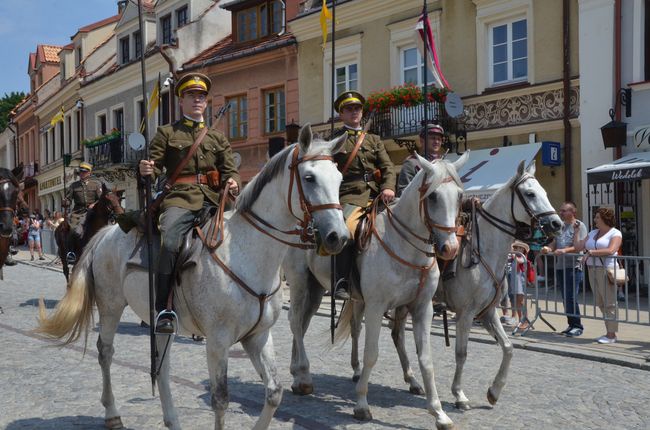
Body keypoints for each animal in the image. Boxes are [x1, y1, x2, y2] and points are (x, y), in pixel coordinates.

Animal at [35, 125, 350, 430]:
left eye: (339, 178)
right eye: (309, 178)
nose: (339, 237)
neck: (246, 252)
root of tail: (105, 232)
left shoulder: (258, 335)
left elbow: (274, 392)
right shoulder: (218, 341)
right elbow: (220, 399)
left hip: (161, 322)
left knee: (162, 368)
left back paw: (172, 420)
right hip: (111, 306)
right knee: (106, 352)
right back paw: (113, 414)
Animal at [284, 155, 466, 430]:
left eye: (459, 195)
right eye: (433, 196)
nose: (450, 248)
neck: (405, 247)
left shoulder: (422, 308)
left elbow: (426, 359)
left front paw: (438, 412)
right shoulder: (375, 307)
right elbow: (371, 354)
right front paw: (361, 404)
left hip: (316, 290)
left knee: (303, 326)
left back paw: (299, 372)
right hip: (299, 283)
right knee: (295, 322)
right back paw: (302, 378)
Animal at [388, 159, 560, 410]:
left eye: (545, 192)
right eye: (530, 194)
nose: (557, 223)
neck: (485, 250)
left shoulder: (488, 312)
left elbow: (508, 348)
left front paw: (494, 391)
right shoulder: (466, 313)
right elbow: (462, 353)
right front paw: (459, 394)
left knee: (396, 335)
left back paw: (412, 381)